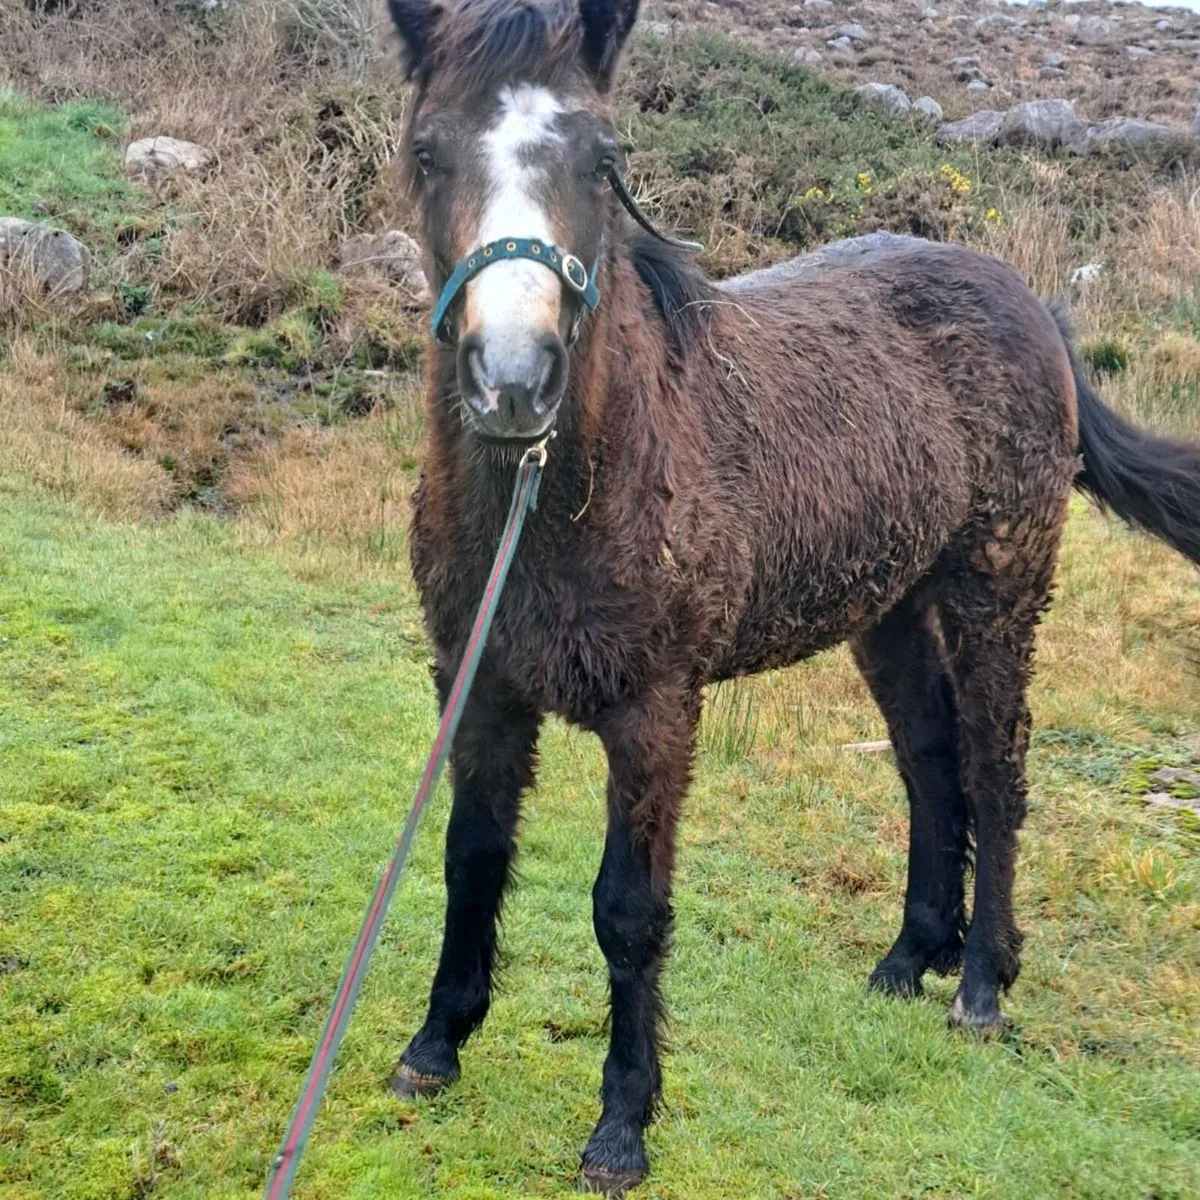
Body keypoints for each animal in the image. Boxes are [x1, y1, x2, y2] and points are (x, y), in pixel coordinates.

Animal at [383, 0, 1200, 1192]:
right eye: (428, 152)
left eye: (604, 159)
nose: (514, 381)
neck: (565, 495)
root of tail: (1031, 305)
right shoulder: (477, 681)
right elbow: (469, 859)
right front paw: (436, 1045)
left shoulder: (657, 712)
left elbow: (629, 910)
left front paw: (622, 1126)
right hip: (892, 612)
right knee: (930, 765)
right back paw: (910, 957)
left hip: (999, 594)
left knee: (995, 771)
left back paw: (981, 986)